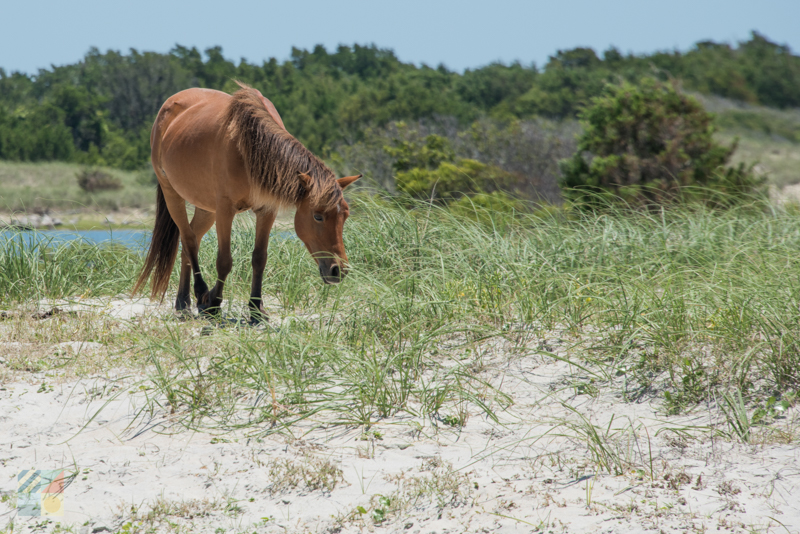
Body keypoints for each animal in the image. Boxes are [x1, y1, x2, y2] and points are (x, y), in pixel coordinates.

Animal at [134, 84, 360, 322]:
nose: (338, 270)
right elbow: (224, 261)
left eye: (345, 215)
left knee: (191, 240)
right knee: (189, 241)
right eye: (318, 216)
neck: (250, 147)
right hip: (173, 195)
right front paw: (214, 303)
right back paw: (198, 294)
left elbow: (259, 258)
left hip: (206, 208)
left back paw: (183, 300)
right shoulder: (225, 210)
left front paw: (256, 308)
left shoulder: (267, 211)